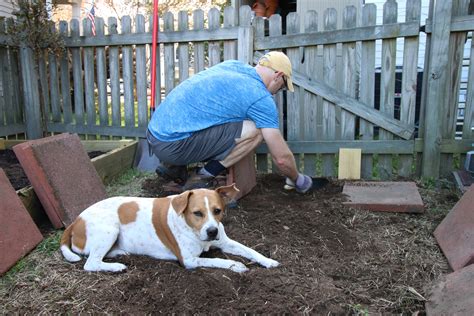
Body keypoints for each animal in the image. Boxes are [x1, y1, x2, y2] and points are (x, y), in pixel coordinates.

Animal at [60, 184, 280, 272]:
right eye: (197, 213)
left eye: (217, 210)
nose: (212, 231)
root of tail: (75, 221)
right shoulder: (189, 260)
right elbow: (218, 260)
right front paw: (235, 265)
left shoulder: (225, 242)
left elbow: (250, 250)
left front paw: (267, 260)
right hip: (110, 229)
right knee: (91, 263)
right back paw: (116, 266)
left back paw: (118, 253)